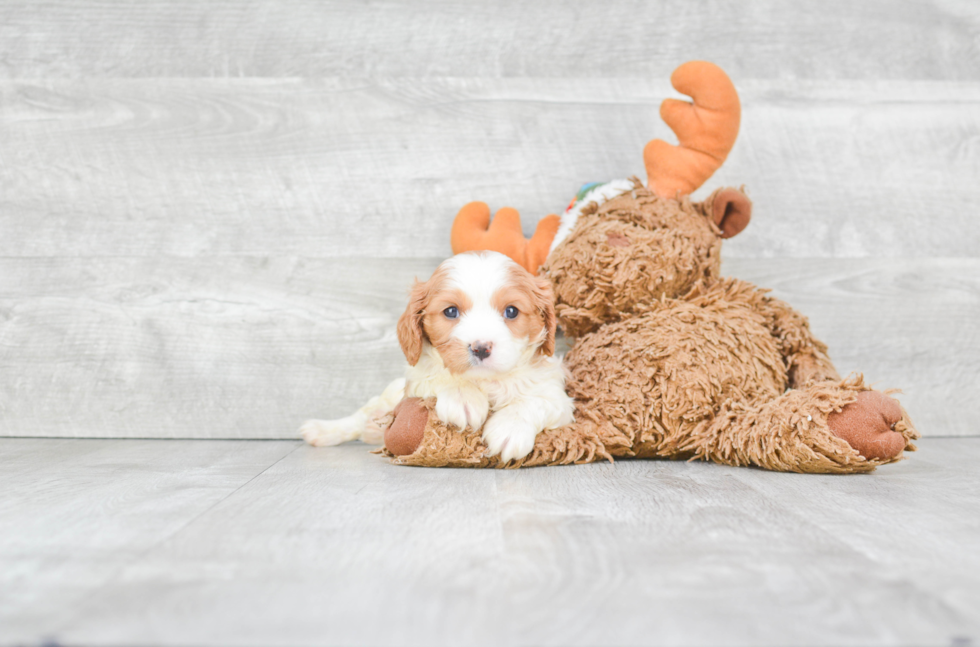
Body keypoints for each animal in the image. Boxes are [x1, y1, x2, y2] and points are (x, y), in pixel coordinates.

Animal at [300, 251, 576, 464]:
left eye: (511, 311)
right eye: (451, 311)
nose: (481, 348)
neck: (484, 381)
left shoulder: (558, 399)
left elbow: (535, 401)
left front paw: (510, 429)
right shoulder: (414, 381)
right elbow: (437, 374)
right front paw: (464, 397)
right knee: (362, 414)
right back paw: (321, 430)